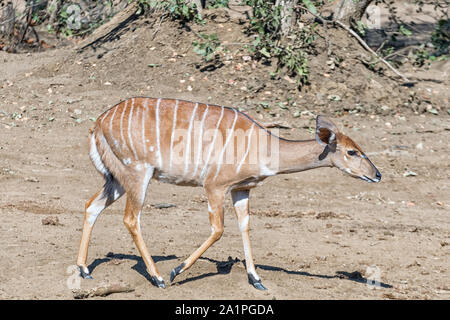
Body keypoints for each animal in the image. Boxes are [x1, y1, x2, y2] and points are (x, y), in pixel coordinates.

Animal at [76, 96, 380, 288]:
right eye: (352, 152)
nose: (377, 174)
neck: (263, 146)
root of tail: (98, 122)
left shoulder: (242, 190)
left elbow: (244, 226)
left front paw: (256, 279)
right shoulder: (214, 185)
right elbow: (219, 229)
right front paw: (176, 270)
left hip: (118, 178)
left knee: (92, 205)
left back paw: (83, 269)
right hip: (138, 173)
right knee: (131, 218)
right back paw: (158, 277)